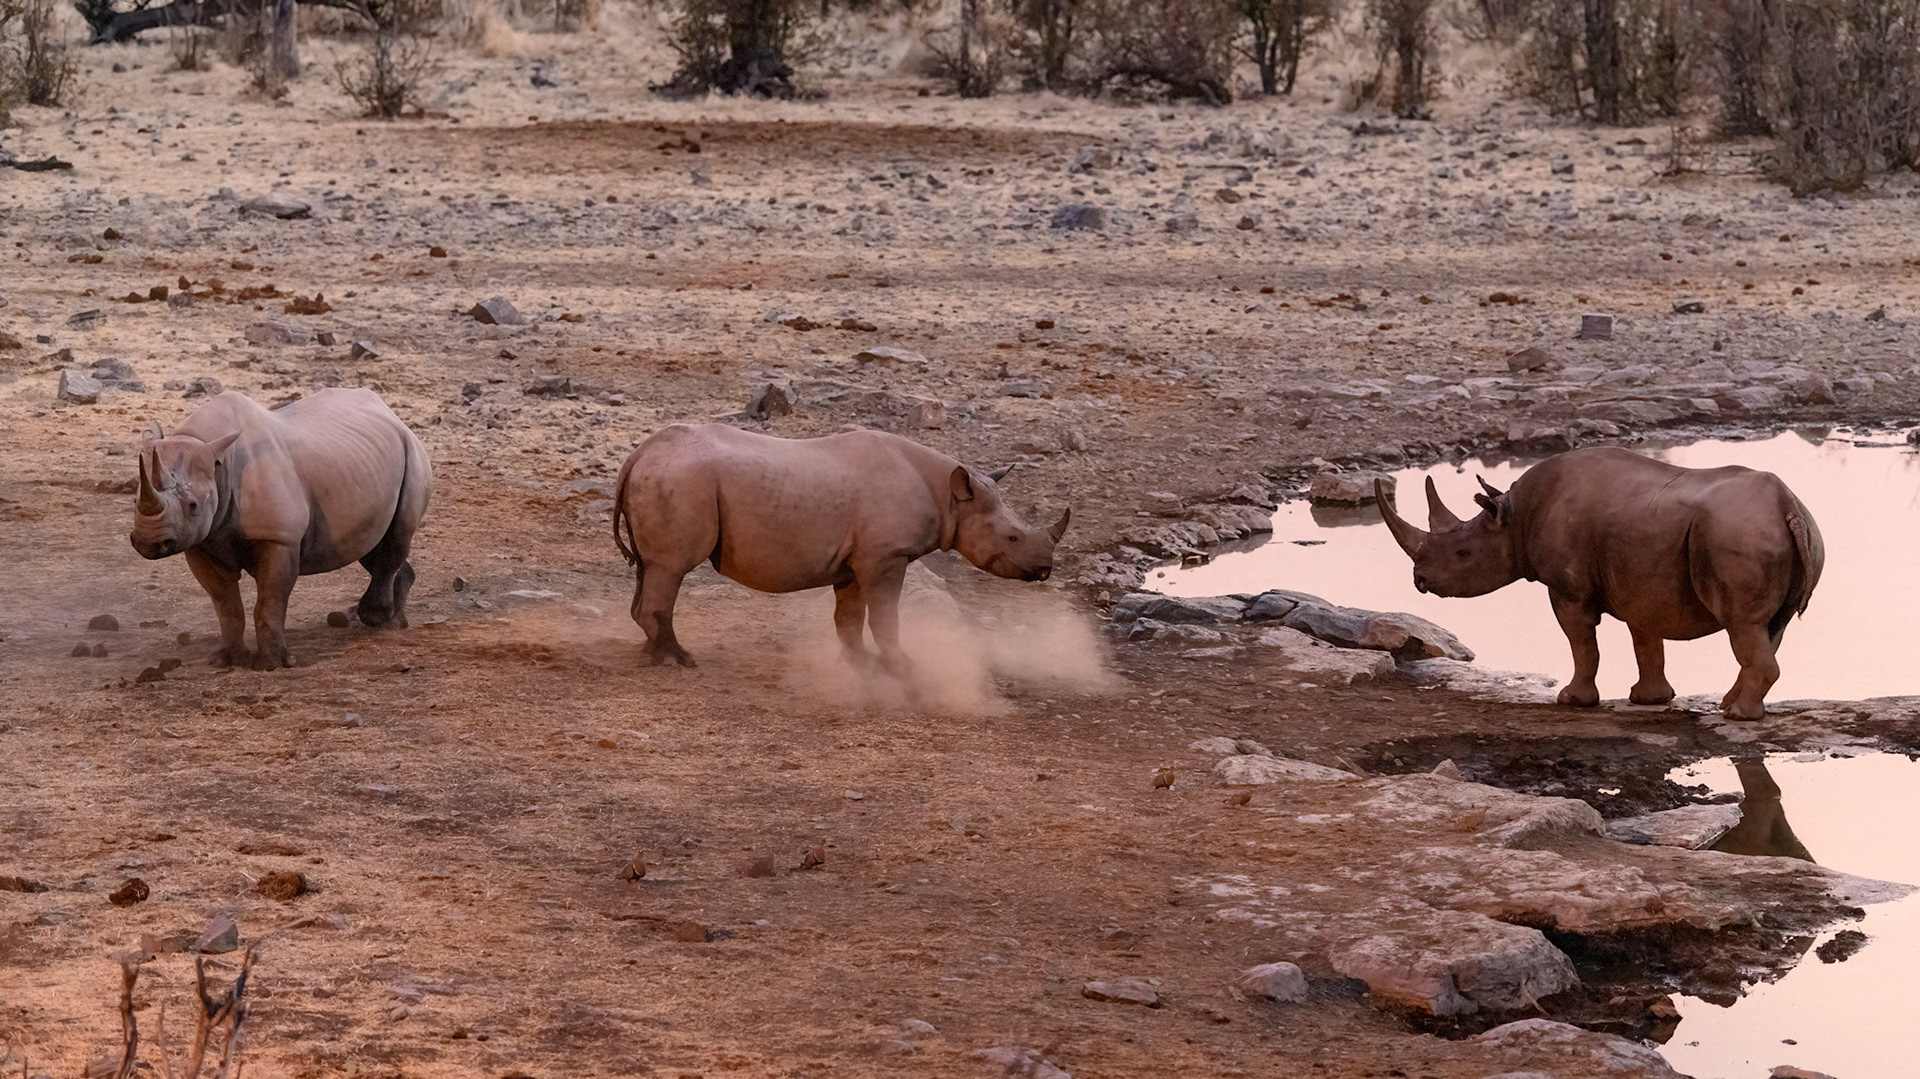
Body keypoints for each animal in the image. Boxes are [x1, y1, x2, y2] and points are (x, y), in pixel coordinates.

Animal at [129, 389, 433, 670]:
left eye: (193, 505)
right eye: (135, 499)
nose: (148, 542)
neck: (218, 464)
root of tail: (393, 415)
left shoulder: (279, 538)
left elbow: (270, 600)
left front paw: (273, 663)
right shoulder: (201, 542)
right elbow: (225, 603)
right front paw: (226, 659)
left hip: (412, 451)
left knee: (396, 536)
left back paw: (378, 619)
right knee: (370, 543)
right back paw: (395, 620)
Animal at [611, 424, 1070, 670]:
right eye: (1012, 538)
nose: (1045, 570)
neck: (950, 497)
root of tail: (639, 454)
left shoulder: (856, 561)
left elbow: (849, 618)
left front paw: (860, 665)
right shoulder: (887, 556)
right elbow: (885, 616)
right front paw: (902, 667)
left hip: (671, 478)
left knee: (651, 568)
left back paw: (651, 653)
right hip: (681, 481)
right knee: (671, 568)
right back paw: (679, 660)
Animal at [1376, 447, 1822, 720]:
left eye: (1462, 553)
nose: (1419, 580)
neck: (1512, 521)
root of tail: (1786, 505)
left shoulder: (1568, 590)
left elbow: (1582, 644)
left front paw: (1571, 700)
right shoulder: (1643, 580)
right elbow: (1647, 643)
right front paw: (1649, 699)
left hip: (1737, 534)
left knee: (1743, 625)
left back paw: (1737, 715)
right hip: (1790, 533)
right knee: (1768, 627)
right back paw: (1731, 705)